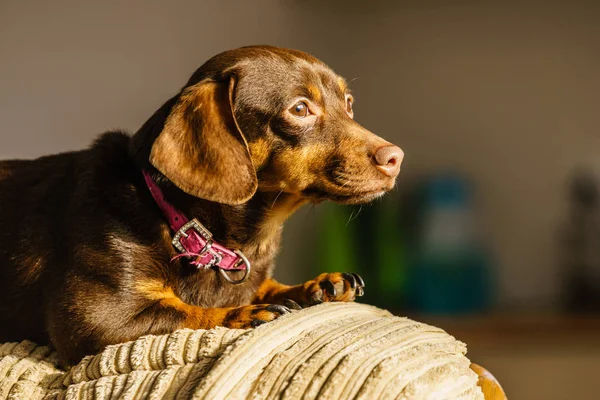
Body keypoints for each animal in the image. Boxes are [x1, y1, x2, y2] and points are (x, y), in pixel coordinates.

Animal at [0, 44, 406, 366]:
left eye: (349, 104)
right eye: (300, 108)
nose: (396, 157)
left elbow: (267, 285)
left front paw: (316, 285)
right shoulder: (95, 321)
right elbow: (184, 313)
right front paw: (242, 313)